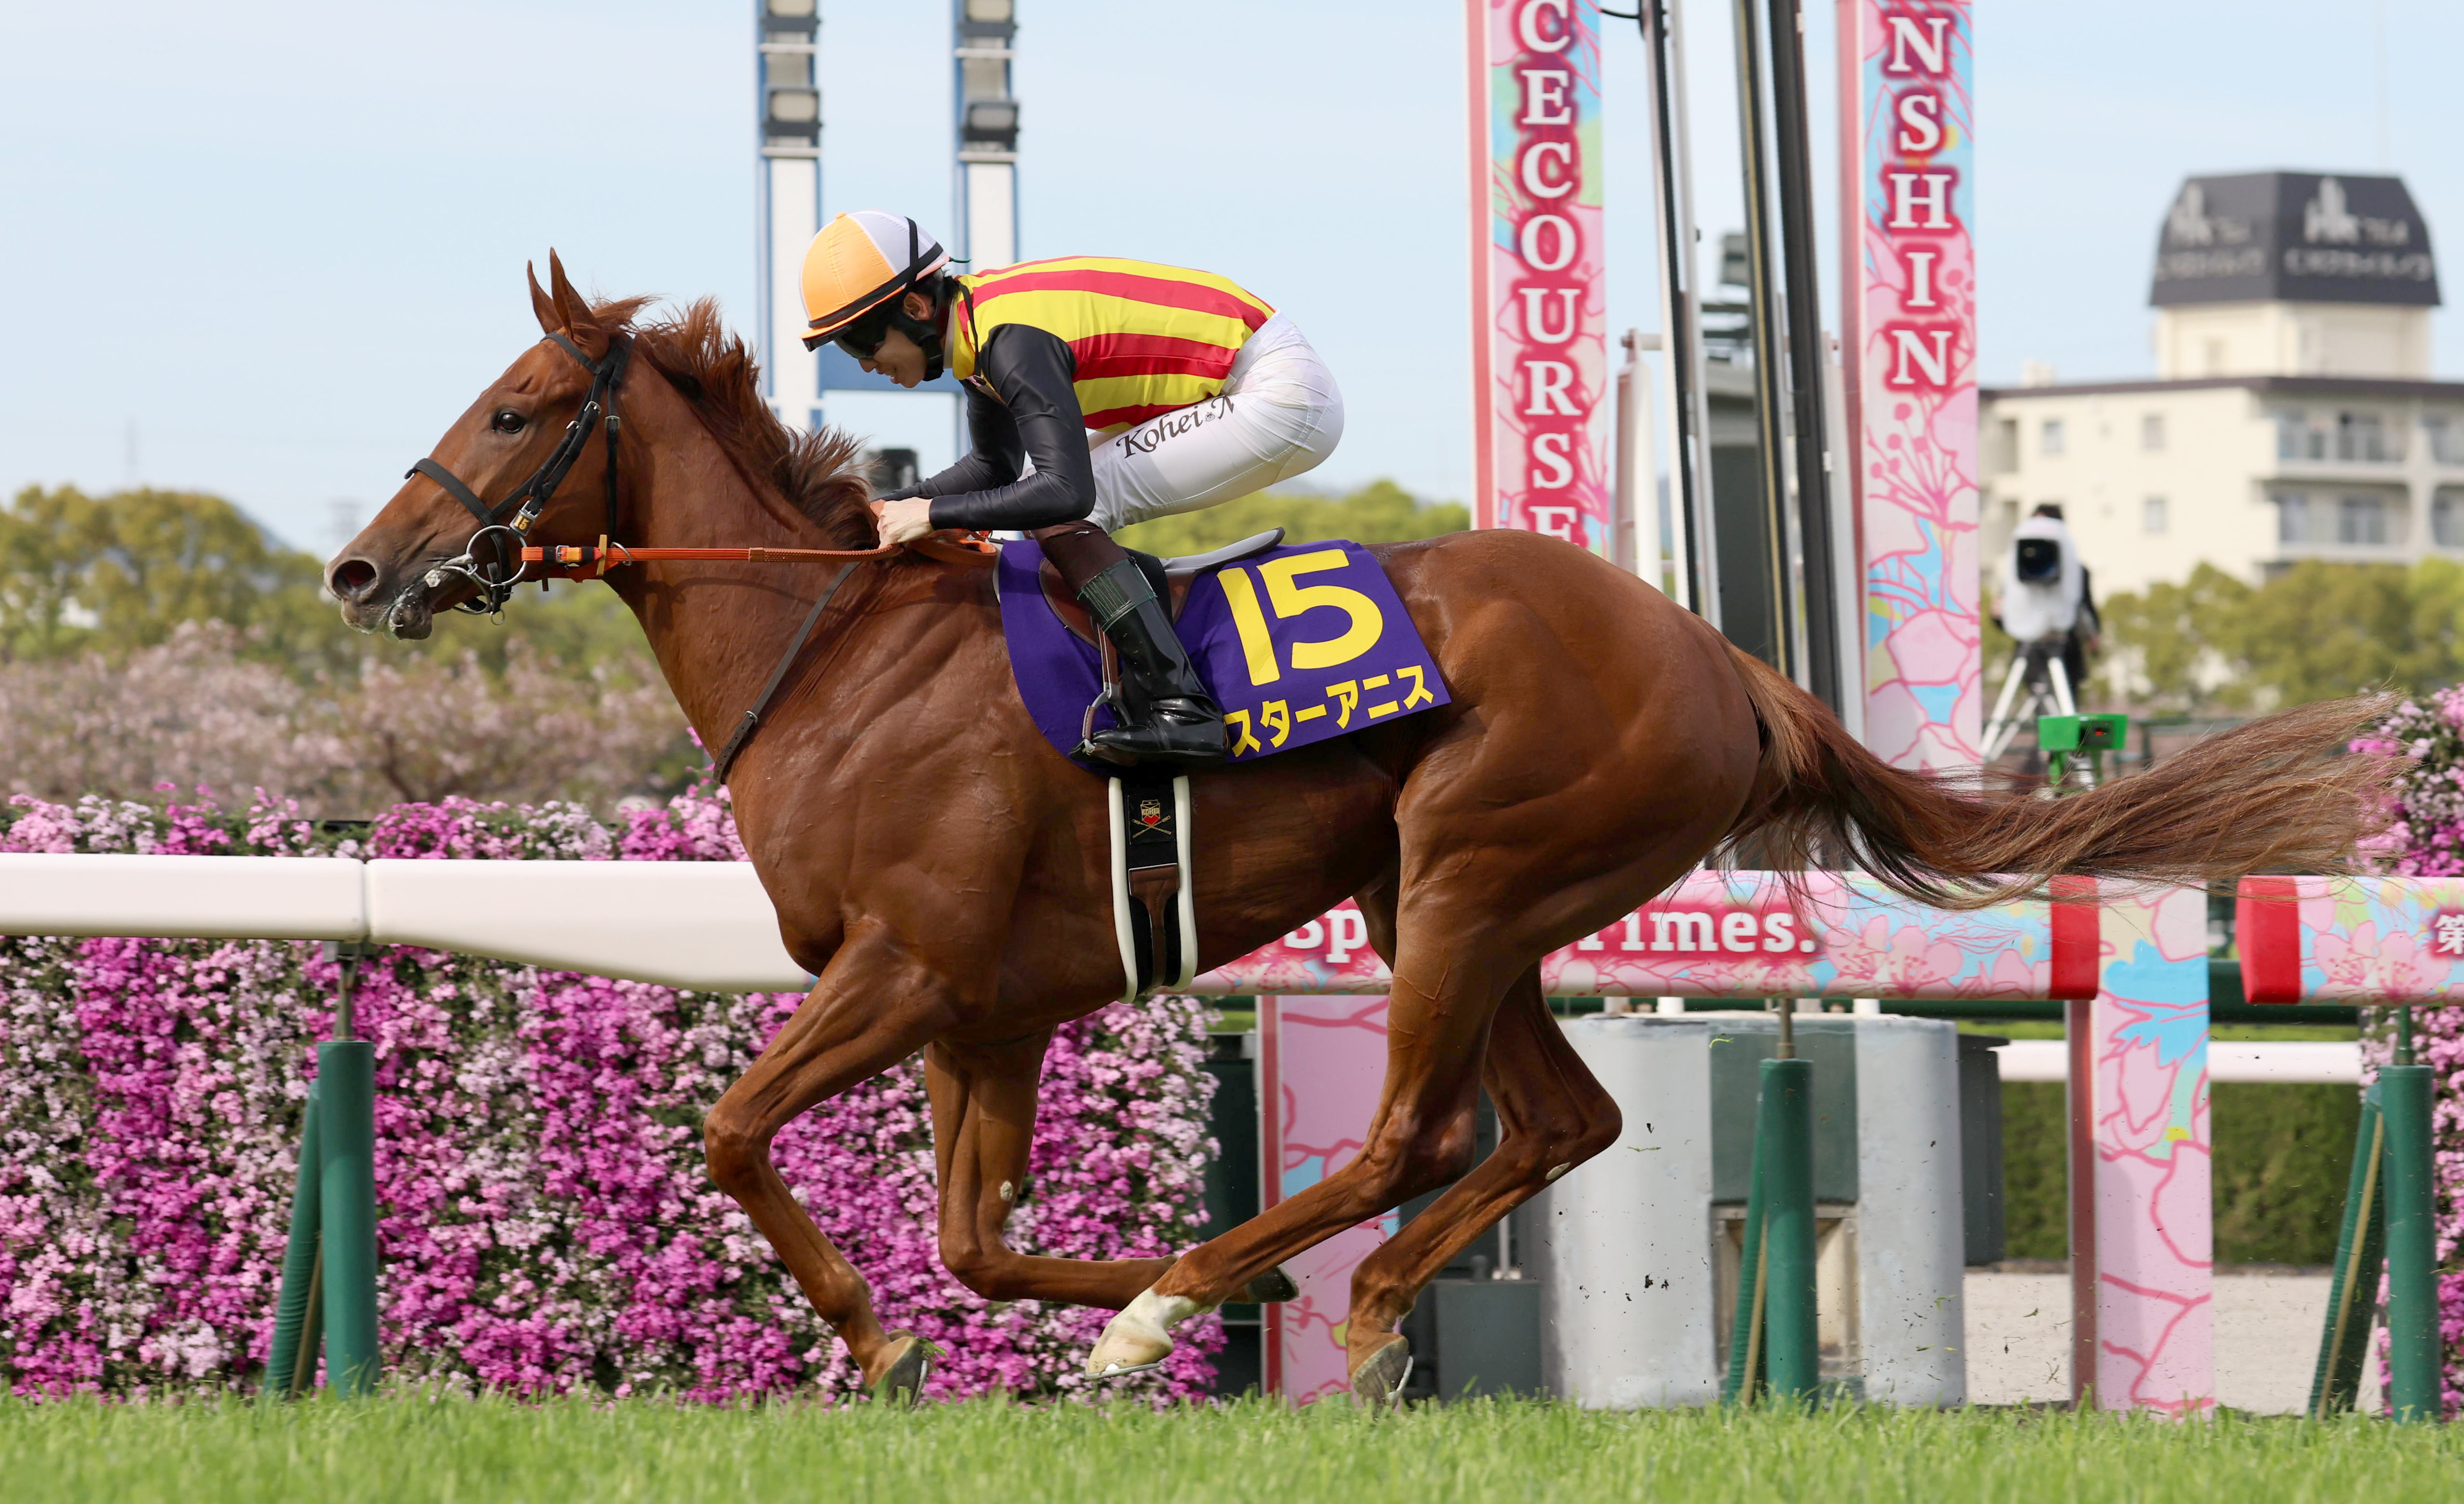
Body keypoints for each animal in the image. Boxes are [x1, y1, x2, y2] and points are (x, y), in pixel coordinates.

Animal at [327, 254, 2386, 1404]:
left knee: (1417, 1124)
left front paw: (965, 1330)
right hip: (1457, 901)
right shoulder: (983, 1004)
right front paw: (1109, 1305)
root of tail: (1723, 658)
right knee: (1552, 1122)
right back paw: (1350, 1300)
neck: (834, 652)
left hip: (1472, 868)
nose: (360, 568)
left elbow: (736, 1130)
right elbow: (979, 1239)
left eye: (512, 408)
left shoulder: (907, 969)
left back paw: (1228, 1297)